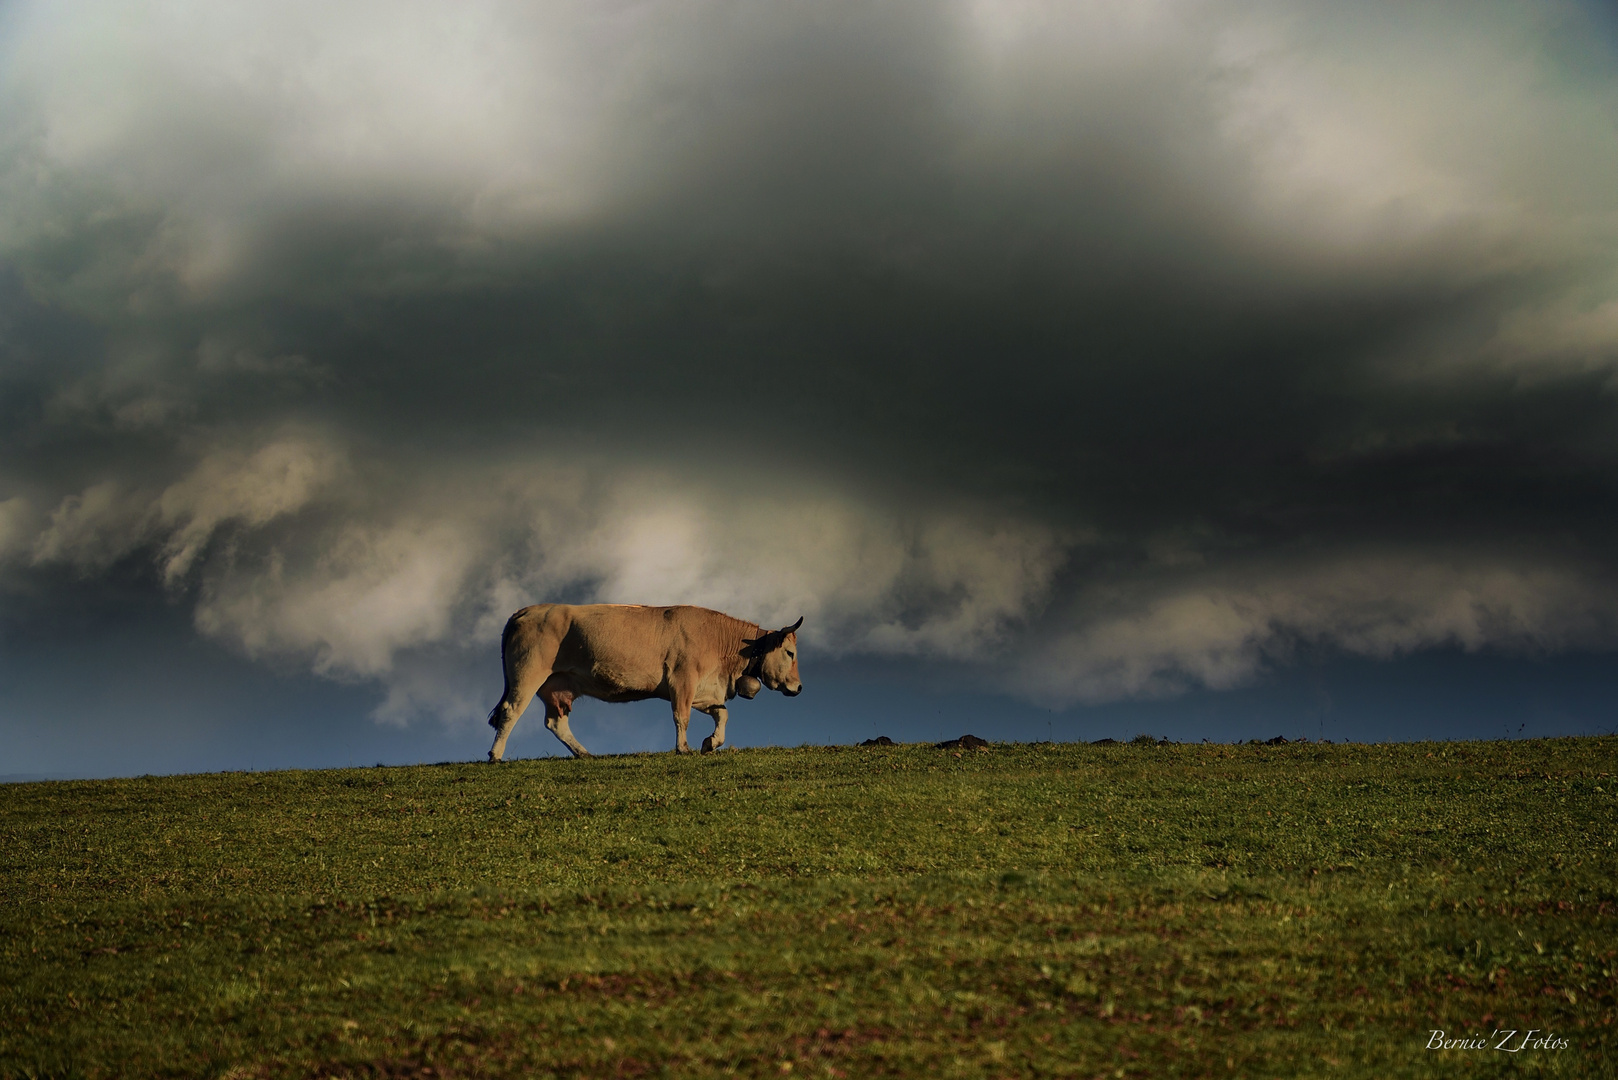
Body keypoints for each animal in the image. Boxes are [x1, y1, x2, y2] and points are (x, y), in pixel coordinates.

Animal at [482, 605, 805, 764]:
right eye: (790, 653)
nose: (799, 687)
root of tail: (526, 611)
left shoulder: (704, 689)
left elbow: (722, 713)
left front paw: (711, 743)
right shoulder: (682, 679)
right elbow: (681, 716)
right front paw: (683, 748)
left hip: (555, 685)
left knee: (556, 722)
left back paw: (584, 754)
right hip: (527, 674)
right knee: (510, 711)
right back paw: (495, 756)